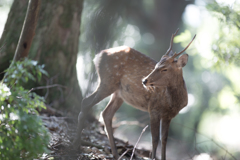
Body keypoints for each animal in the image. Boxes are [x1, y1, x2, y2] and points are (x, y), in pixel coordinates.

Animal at [74, 29, 196, 160]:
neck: (173, 103)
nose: (144, 80)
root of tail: (98, 56)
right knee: (86, 102)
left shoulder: (169, 115)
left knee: (106, 113)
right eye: (156, 66)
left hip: (118, 93)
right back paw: (76, 145)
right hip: (108, 80)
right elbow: (155, 139)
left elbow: (164, 140)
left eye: (165, 69)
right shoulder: (154, 109)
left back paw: (116, 154)